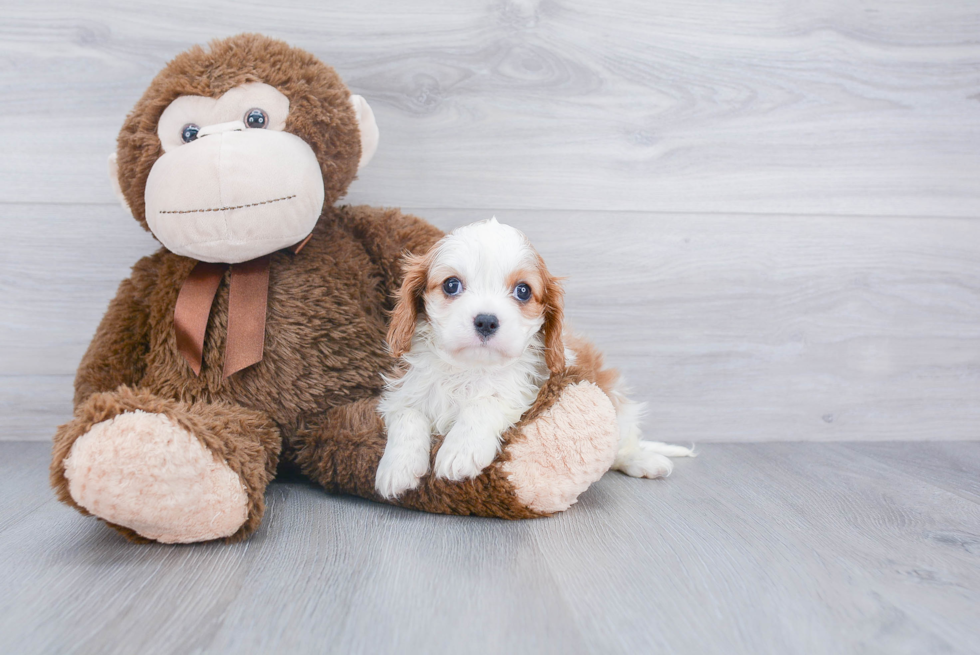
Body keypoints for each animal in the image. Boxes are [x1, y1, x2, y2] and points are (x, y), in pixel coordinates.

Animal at [372, 218, 692, 500]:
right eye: (451, 285)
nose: (486, 321)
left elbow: (486, 402)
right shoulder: (404, 391)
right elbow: (407, 415)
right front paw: (397, 467)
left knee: (622, 447)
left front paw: (461, 449)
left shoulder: (530, 389)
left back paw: (645, 460)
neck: (472, 368)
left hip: (616, 402)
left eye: (523, 291)